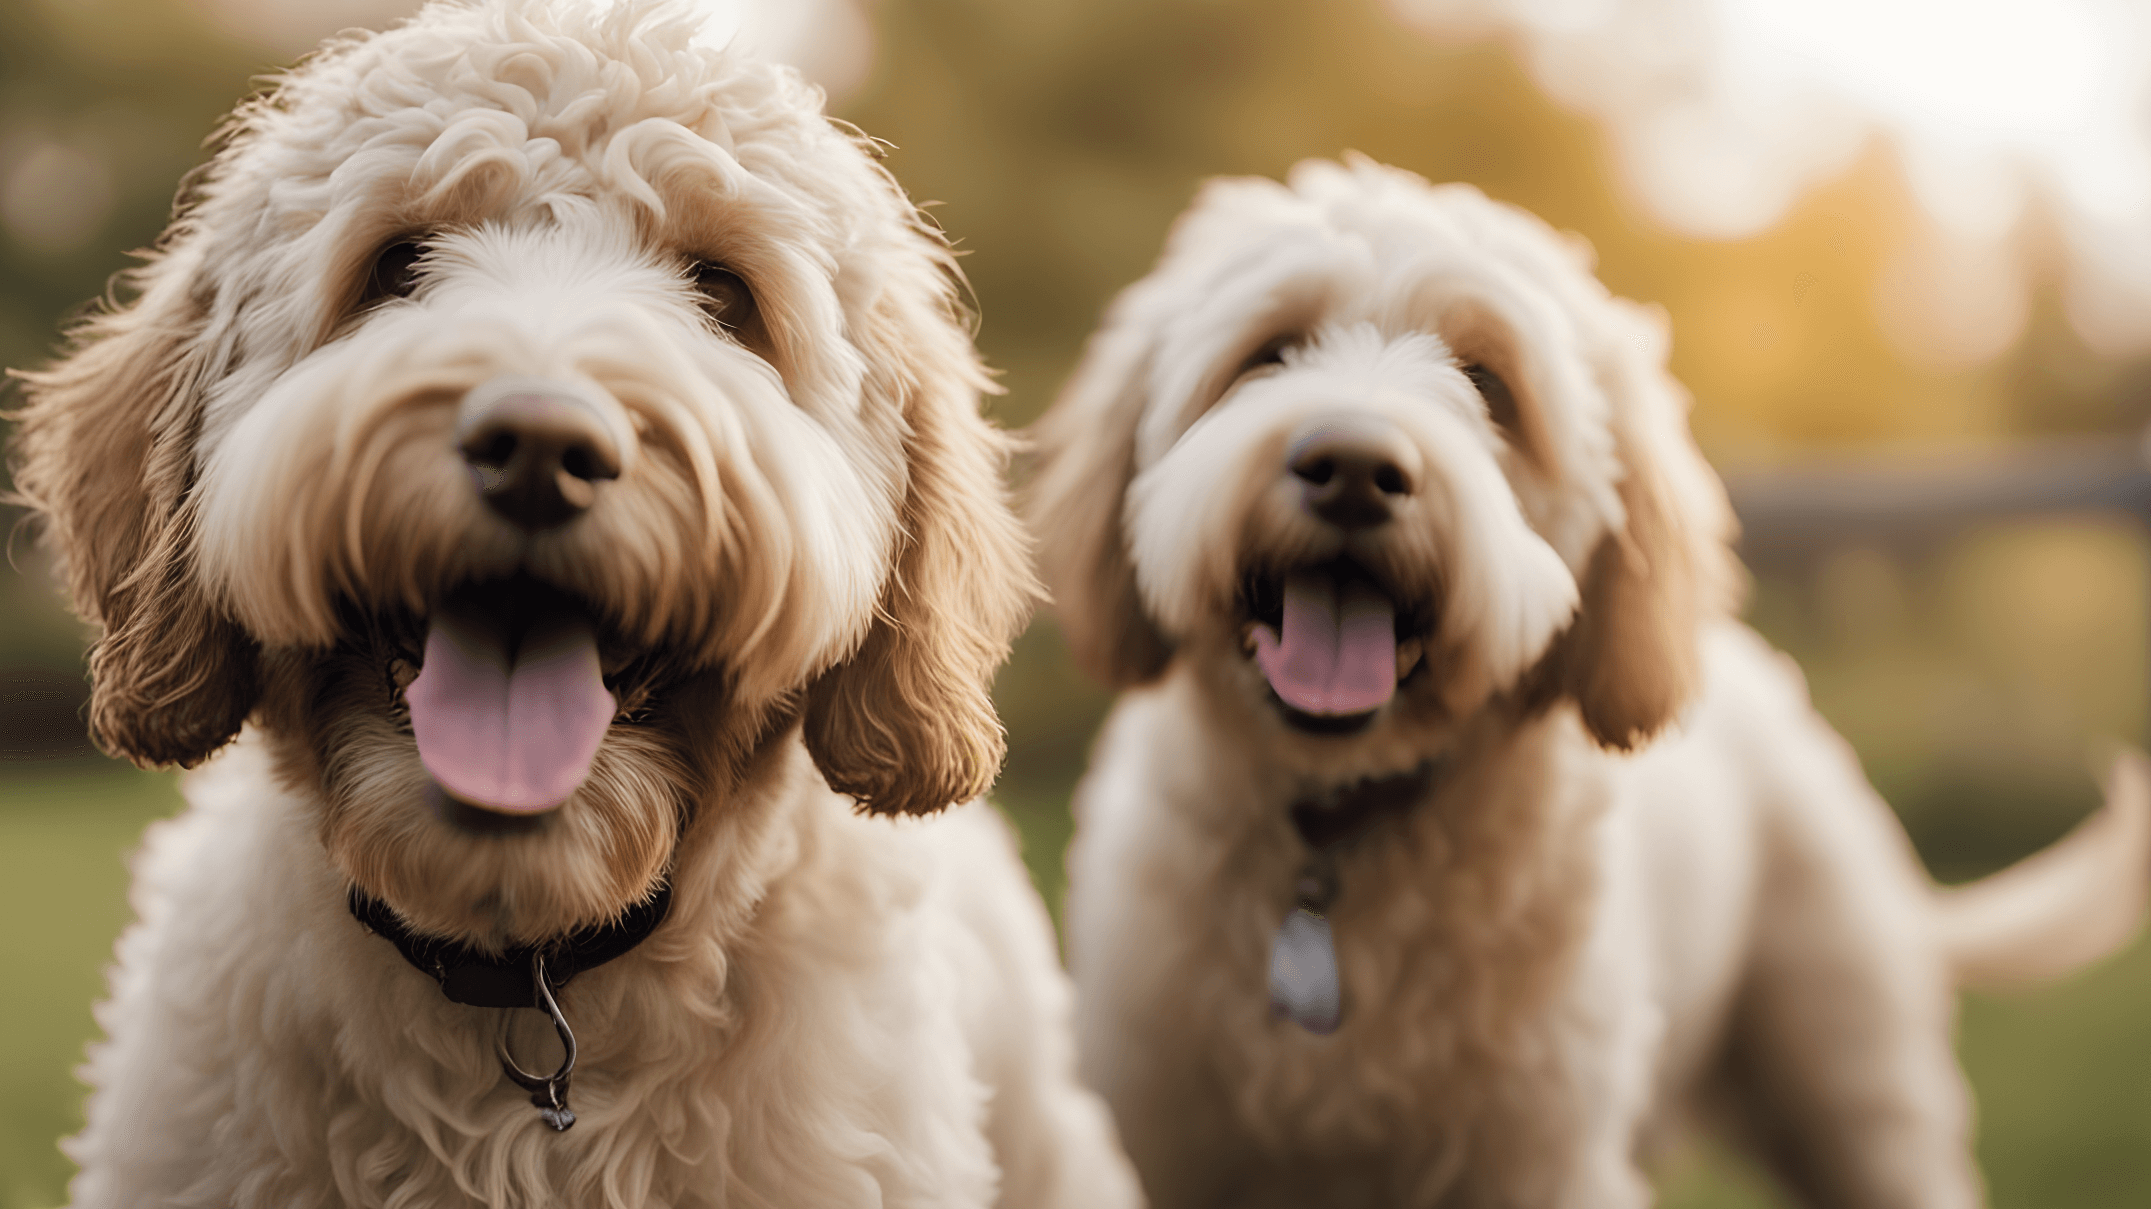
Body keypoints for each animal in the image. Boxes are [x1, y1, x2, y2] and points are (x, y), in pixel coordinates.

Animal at [1028, 154, 2151, 1196]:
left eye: (1489, 384)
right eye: (1266, 354)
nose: (1354, 467)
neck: (1338, 837)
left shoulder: (1541, 1157)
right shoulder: (1156, 1132)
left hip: (1855, 1083)